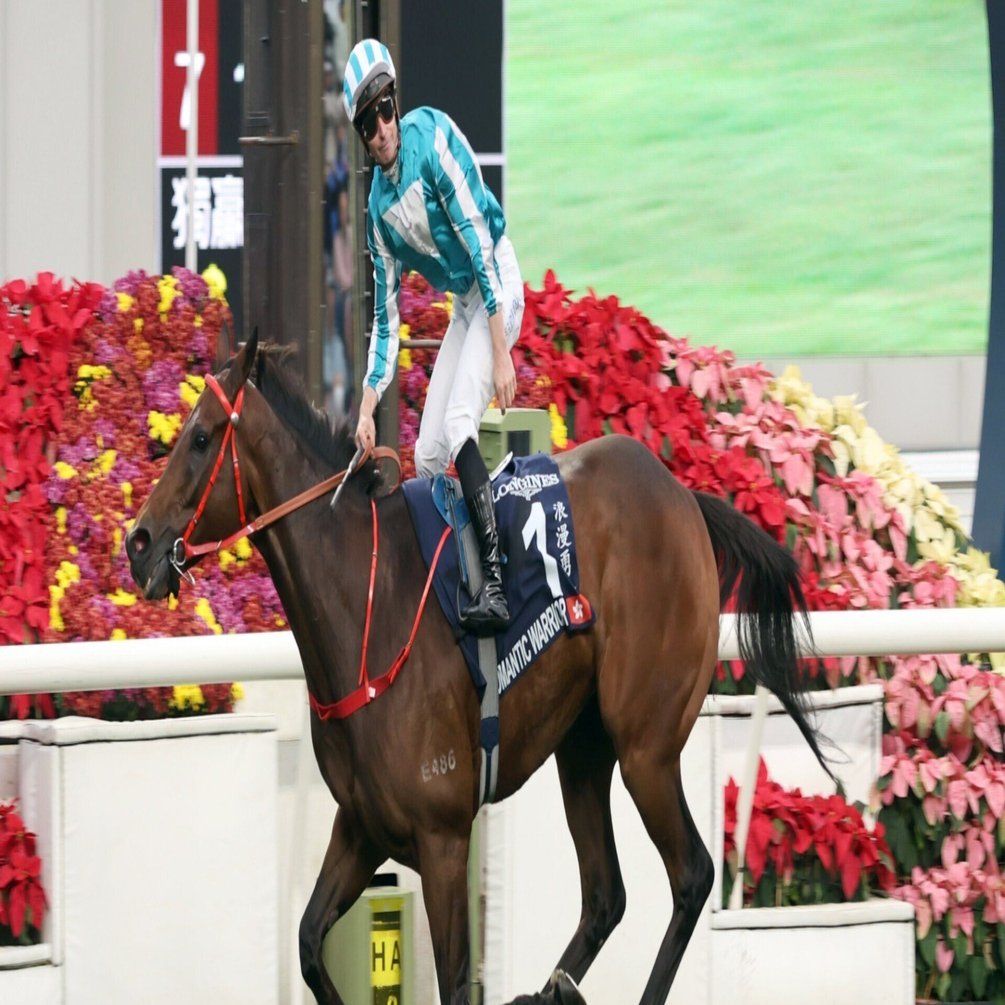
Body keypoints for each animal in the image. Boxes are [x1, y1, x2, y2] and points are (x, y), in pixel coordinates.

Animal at [124, 327, 831, 1005]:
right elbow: (306, 943)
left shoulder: (442, 838)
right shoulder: (361, 826)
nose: (138, 543)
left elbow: (456, 982)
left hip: (646, 747)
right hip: (583, 749)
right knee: (605, 896)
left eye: (201, 438)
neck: (366, 608)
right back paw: (550, 991)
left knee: (690, 875)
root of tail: (682, 494)